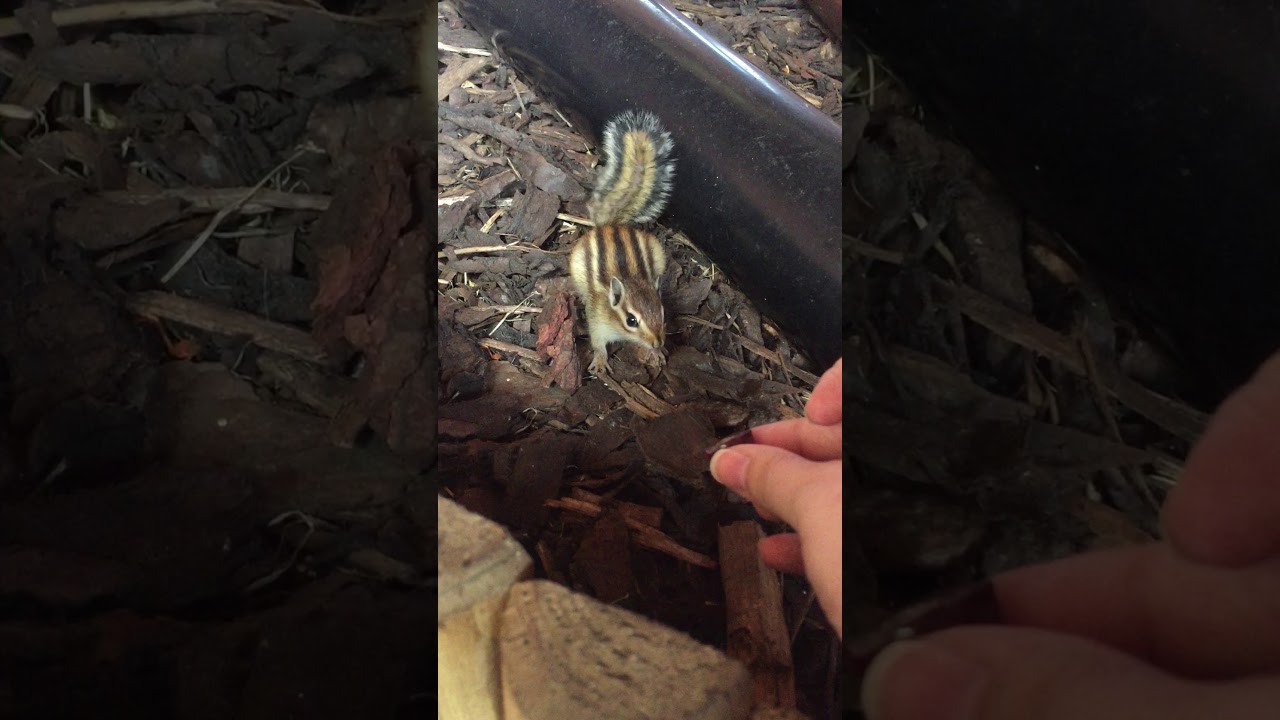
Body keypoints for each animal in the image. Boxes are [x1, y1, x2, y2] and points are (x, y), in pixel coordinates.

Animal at [567, 110, 676, 376]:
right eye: (631, 320)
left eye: (662, 312)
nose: (658, 342)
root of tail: (611, 224)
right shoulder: (598, 322)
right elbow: (598, 343)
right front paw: (600, 361)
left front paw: (657, 354)